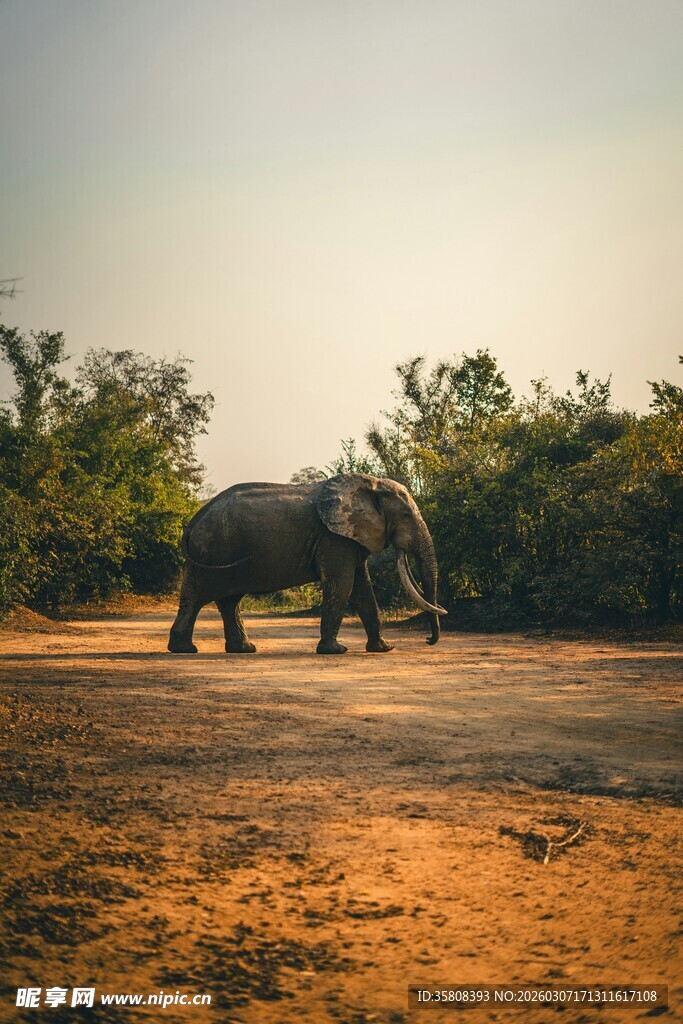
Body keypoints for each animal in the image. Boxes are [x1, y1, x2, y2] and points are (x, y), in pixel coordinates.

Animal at [168, 473, 446, 655]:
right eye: (406, 515)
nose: (427, 640)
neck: (370, 484)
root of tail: (198, 515)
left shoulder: (348, 539)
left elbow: (362, 588)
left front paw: (384, 649)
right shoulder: (333, 538)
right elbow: (342, 584)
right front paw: (336, 650)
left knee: (229, 601)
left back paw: (243, 649)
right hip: (211, 548)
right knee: (197, 596)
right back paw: (185, 649)